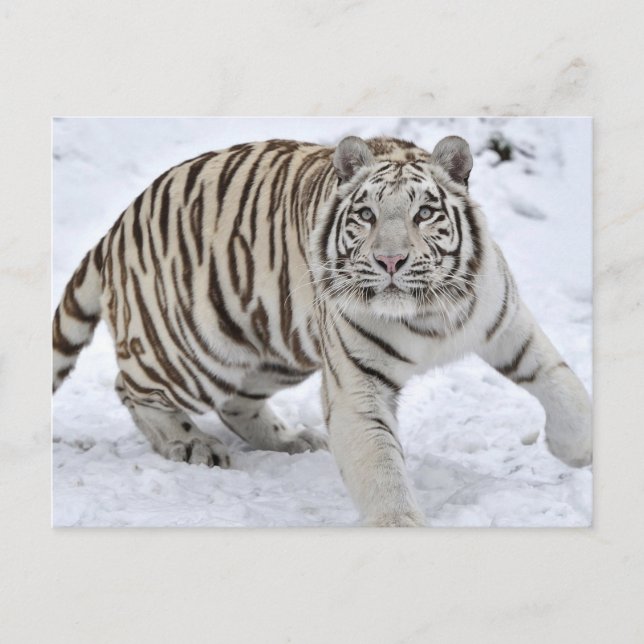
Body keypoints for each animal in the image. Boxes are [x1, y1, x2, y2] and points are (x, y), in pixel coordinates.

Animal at [52, 134, 592, 527]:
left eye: (423, 213)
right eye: (367, 215)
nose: (390, 260)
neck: (427, 314)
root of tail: (116, 227)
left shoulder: (506, 322)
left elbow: (563, 383)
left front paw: (575, 451)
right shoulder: (357, 386)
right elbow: (380, 467)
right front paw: (399, 526)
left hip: (276, 348)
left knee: (236, 403)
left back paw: (291, 440)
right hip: (193, 348)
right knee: (131, 388)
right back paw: (192, 445)